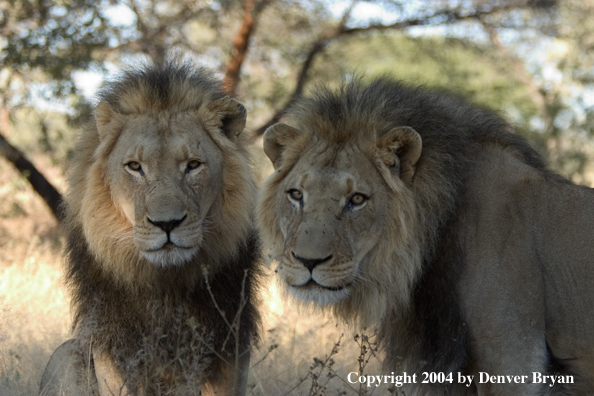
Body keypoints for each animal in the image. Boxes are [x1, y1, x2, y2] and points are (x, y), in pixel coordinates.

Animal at [38, 62, 258, 396]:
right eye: (134, 167)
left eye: (193, 165)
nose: (167, 224)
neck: (165, 284)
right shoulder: (114, 350)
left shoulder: (230, 348)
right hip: (65, 354)